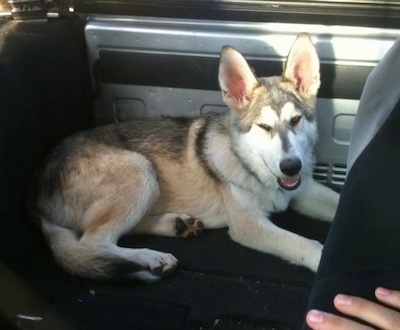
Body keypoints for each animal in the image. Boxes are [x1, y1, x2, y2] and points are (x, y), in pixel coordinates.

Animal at [28, 32, 340, 282]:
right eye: (264, 127)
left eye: (296, 120)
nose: (291, 167)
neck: (255, 170)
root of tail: (38, 198)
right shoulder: (248, 225)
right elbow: (305, 244)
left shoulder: (306, 191)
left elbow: (338, 201)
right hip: (140, 170)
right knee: (93, 242)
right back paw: (151, 258)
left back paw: (175, 225)